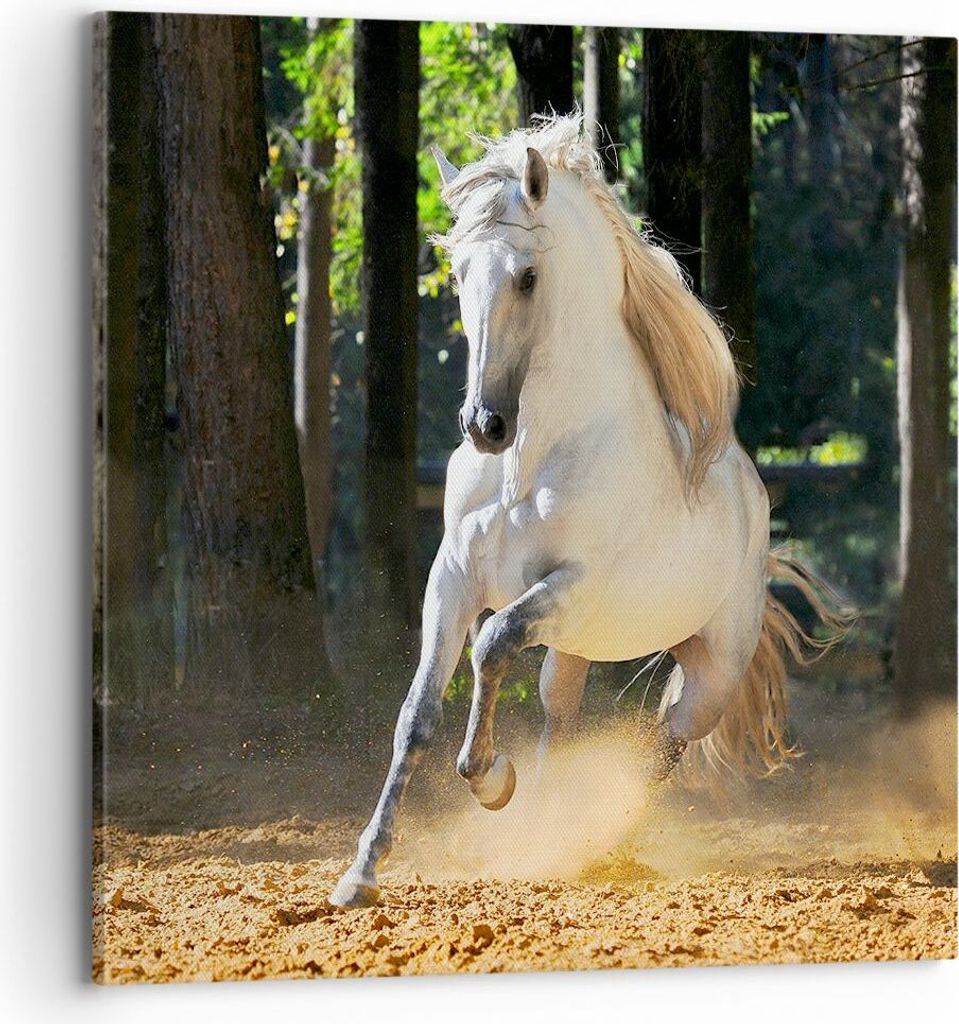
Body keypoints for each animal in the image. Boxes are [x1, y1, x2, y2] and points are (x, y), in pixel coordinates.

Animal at [330, 114, 843, 908]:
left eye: (527, 276)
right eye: (458, 273)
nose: (484, 425)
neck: (529, 462)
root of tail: (753, 501)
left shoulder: (571, 586)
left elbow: (490, 645)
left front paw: (489, 780)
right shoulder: (452, 581)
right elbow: (416, 714)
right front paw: (361, 872)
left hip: (709, 674)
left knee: (665, 744)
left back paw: (597, 843)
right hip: (574, 649)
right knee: (560, 718)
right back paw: (544, 837)